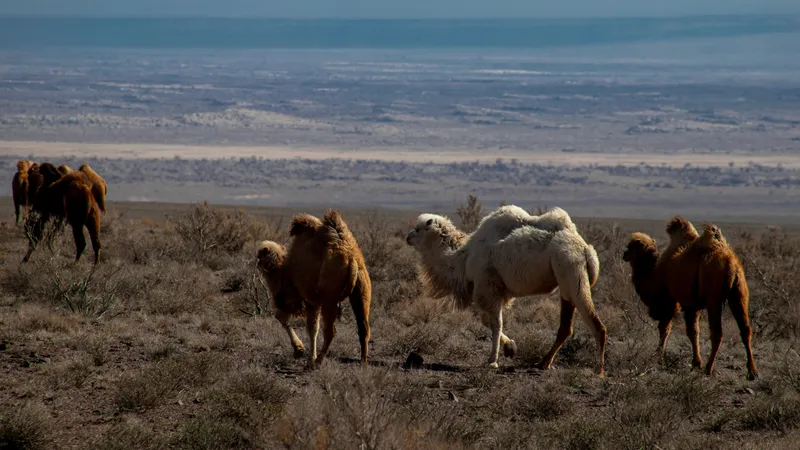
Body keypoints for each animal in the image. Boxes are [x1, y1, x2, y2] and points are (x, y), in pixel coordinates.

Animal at [256, 210, 371, 370]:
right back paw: (363, 363)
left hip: (329, 296)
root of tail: (352, 259)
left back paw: (318, 362)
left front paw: (304, 355)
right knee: (364, 328)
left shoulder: (307, 298)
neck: (284, 269)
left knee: (330, 331)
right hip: (362, 290)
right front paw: (301, 352)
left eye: (261, 258)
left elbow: (306, 326)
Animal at [405, 205, 607, 375]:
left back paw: (599, 371)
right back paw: (543, 363)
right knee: (566, 327)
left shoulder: (488, 286)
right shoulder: (498, 290)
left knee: (597, 326)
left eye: (418, 229)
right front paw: (510, 348)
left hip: (571, 270)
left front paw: (492, 361)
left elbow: (496, 323)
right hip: (566, 282)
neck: (463, 258)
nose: (407, 237)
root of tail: (586, 249)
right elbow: (487, 320)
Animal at [623, 219, 758, 380]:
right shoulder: (693, 305)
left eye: (630, 247)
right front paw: (695, 362)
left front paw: (660, 355)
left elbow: (667, 329)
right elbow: (694, 332)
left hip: (714, 299)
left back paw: (709, 368)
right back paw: (752, 371)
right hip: (739, 294)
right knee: (745, 330)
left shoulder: (673, 302)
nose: (624, 254)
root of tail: (731, 263)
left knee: (717, 333)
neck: (654, 273)